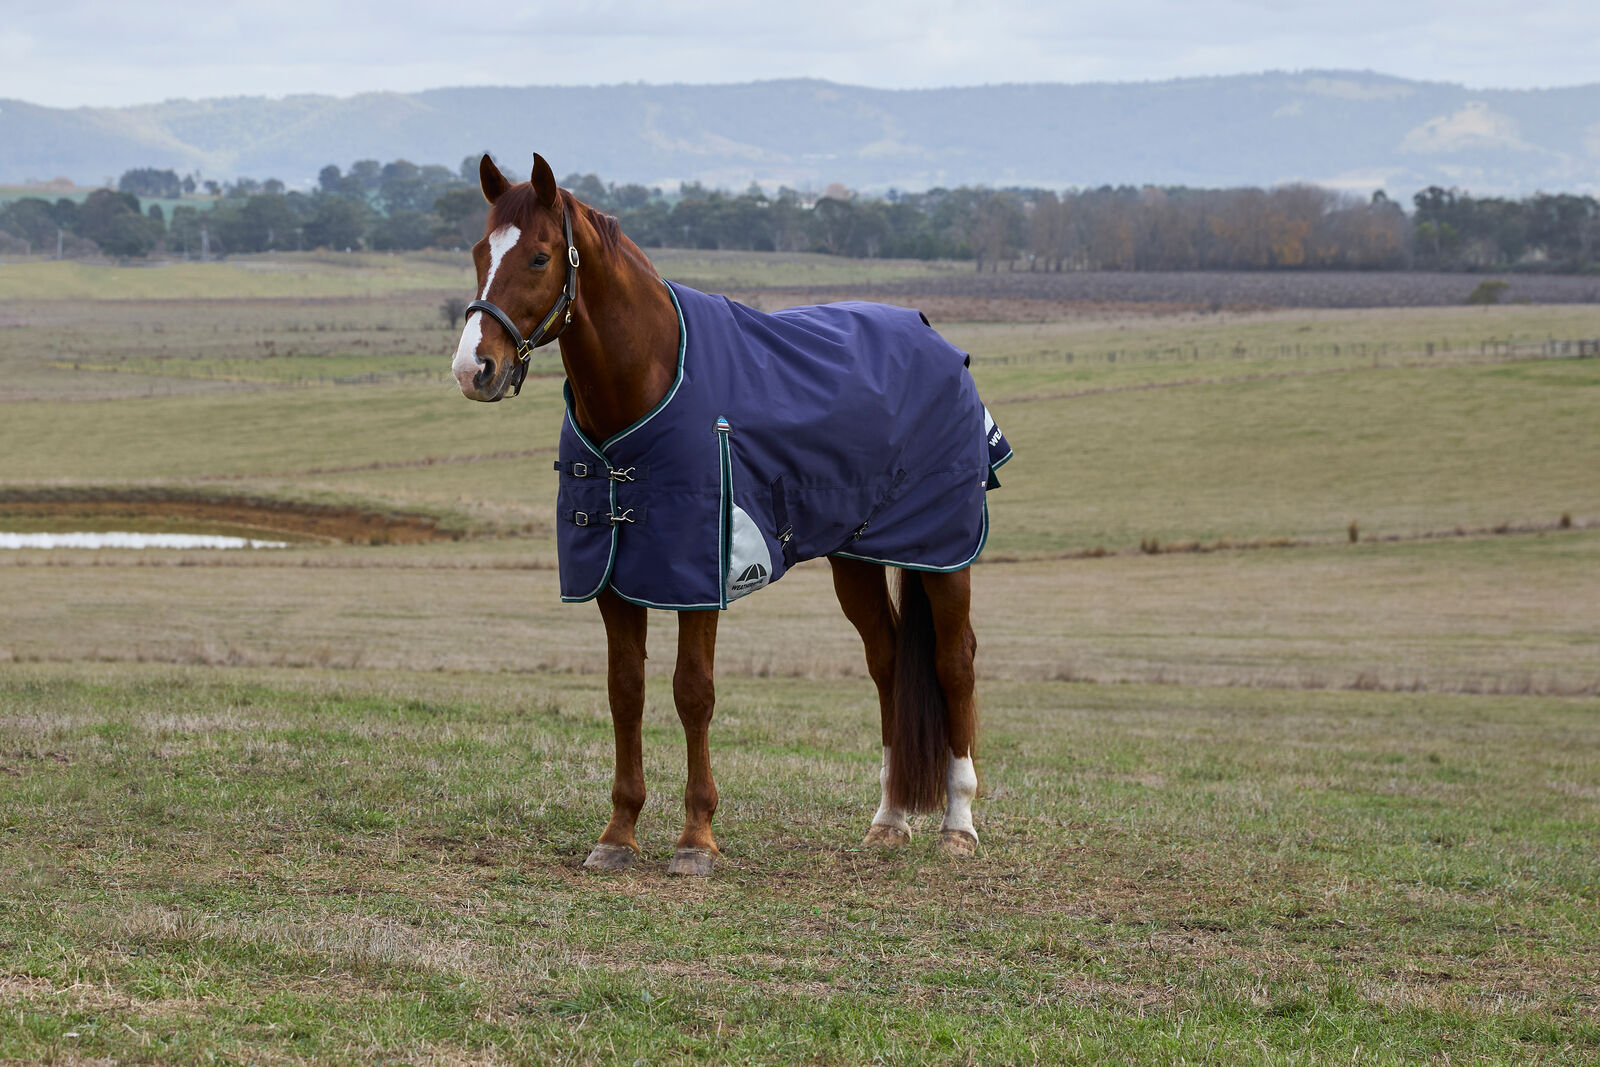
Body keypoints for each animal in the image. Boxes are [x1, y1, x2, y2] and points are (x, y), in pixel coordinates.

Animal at [450, 154, 1010, 877]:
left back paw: (958, 822)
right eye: (478, 252)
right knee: (888, 661)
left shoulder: (699, 579)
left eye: (541, 256)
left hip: (943, 554)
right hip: (856, 557)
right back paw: (888, 817)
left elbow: (694, 692)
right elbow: (625, 691)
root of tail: (937, 343)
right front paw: (618, 833)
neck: (650, 380)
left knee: (953, 662)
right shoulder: (615, 579)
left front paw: (696, 839)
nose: (473, 368)